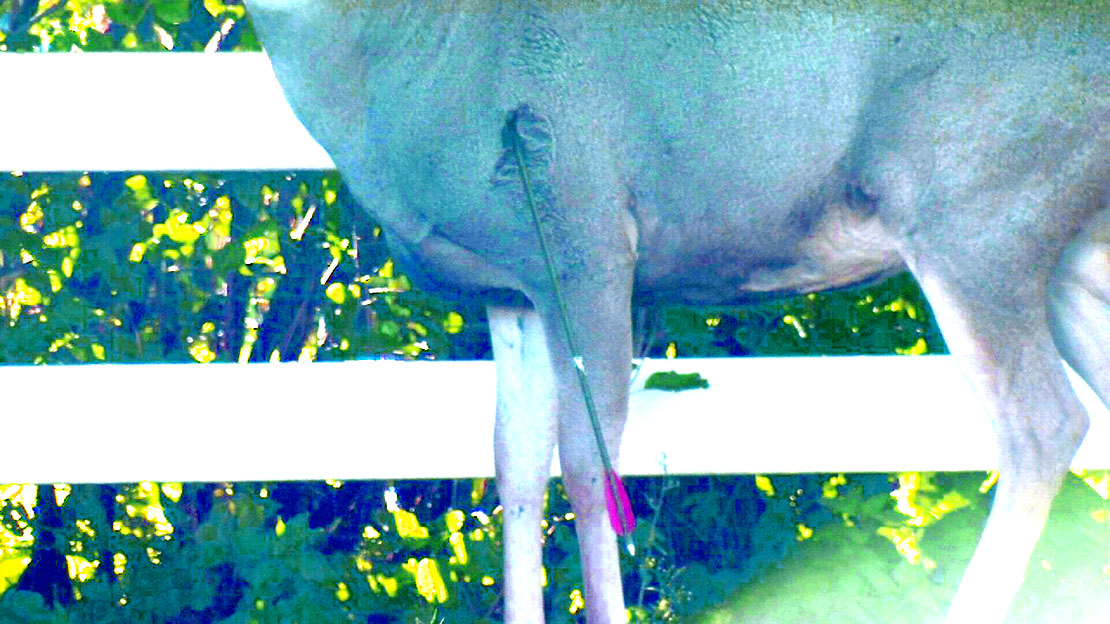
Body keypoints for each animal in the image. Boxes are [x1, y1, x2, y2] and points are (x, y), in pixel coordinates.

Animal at [243, 1, 1110, 622]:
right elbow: (514, 470)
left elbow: (588, 468)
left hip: (973, 211)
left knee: (1043, 425)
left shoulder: (587, 242)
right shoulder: (512, 292)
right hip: (1067, 256)